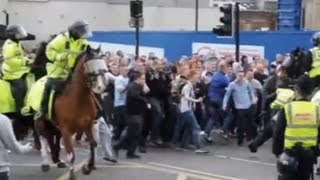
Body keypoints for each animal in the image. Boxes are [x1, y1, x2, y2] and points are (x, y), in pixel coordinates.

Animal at [34, 45, 108, 180]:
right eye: (90, 65)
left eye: (103, 64)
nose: (101, 87)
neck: (78, 100)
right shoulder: (67, 130)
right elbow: (71, 154)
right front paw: (72, 174)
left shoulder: (87, 126)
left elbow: (93, 144)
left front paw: (88, 168)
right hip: (41, 122)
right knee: (43, 138)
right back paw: (46, 162)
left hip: (55, 126)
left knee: (53, 138)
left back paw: (57, 159)